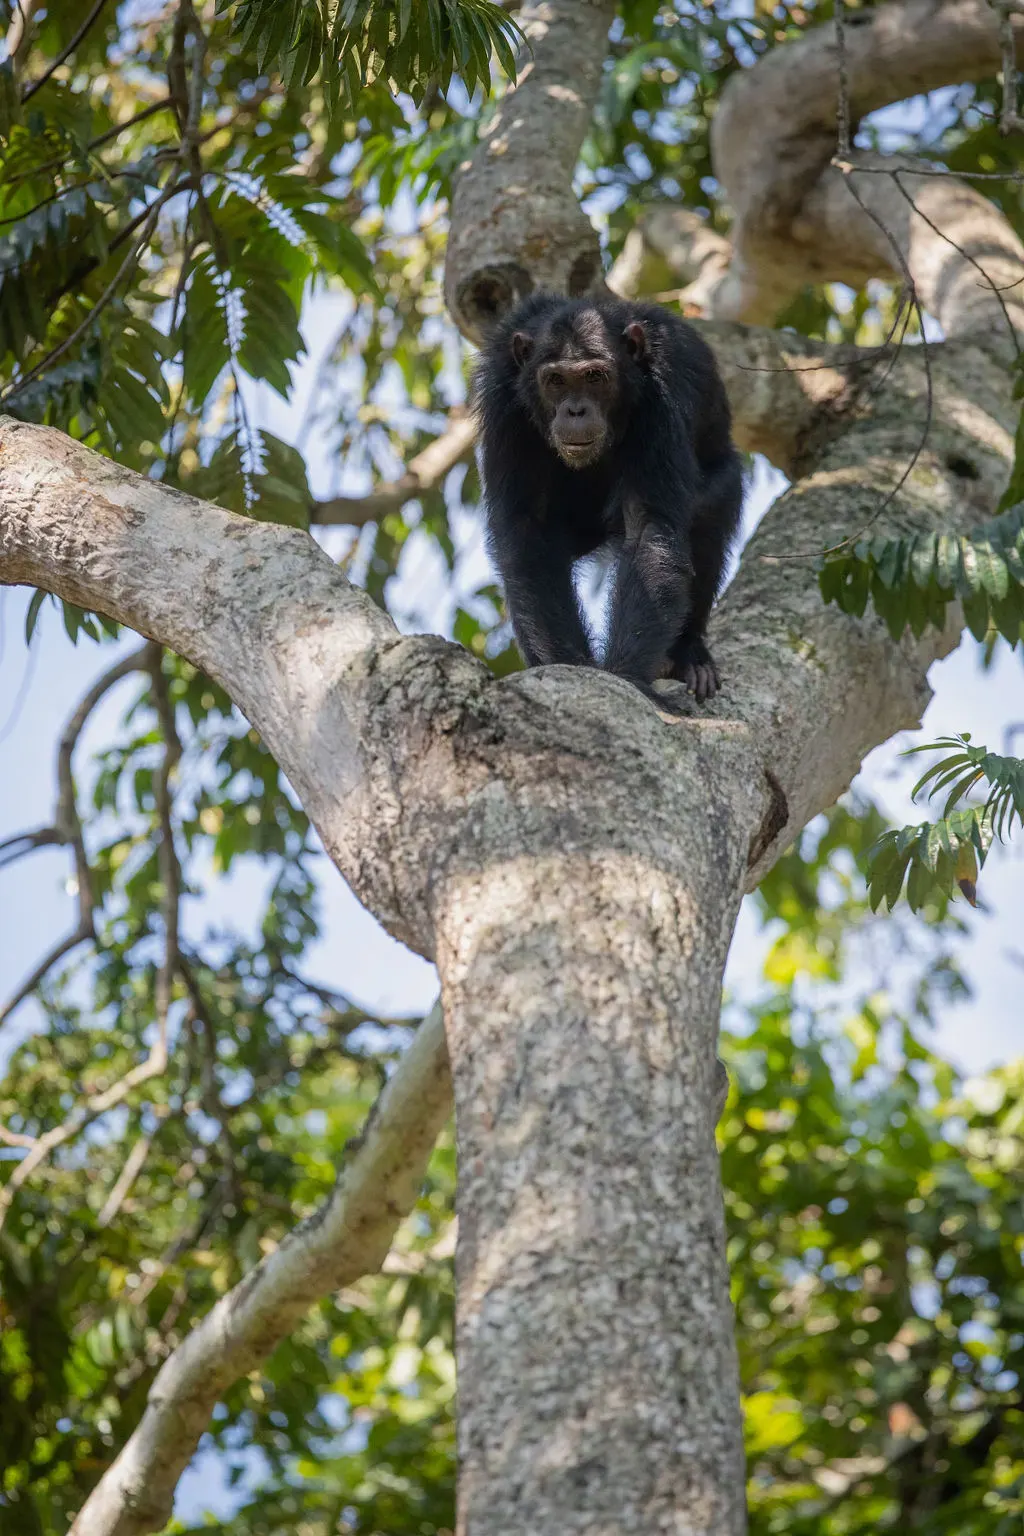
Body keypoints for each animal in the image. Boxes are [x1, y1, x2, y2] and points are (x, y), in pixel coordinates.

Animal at [473, 292, 744, 707]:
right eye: (555, 381)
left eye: (594, 377)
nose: (575, 410)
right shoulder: (504, 401)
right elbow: (528, 530)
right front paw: (570, 667)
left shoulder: (664, 393)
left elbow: (648, 526)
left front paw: (628, 677)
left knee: (713, 511)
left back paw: (687, 654)